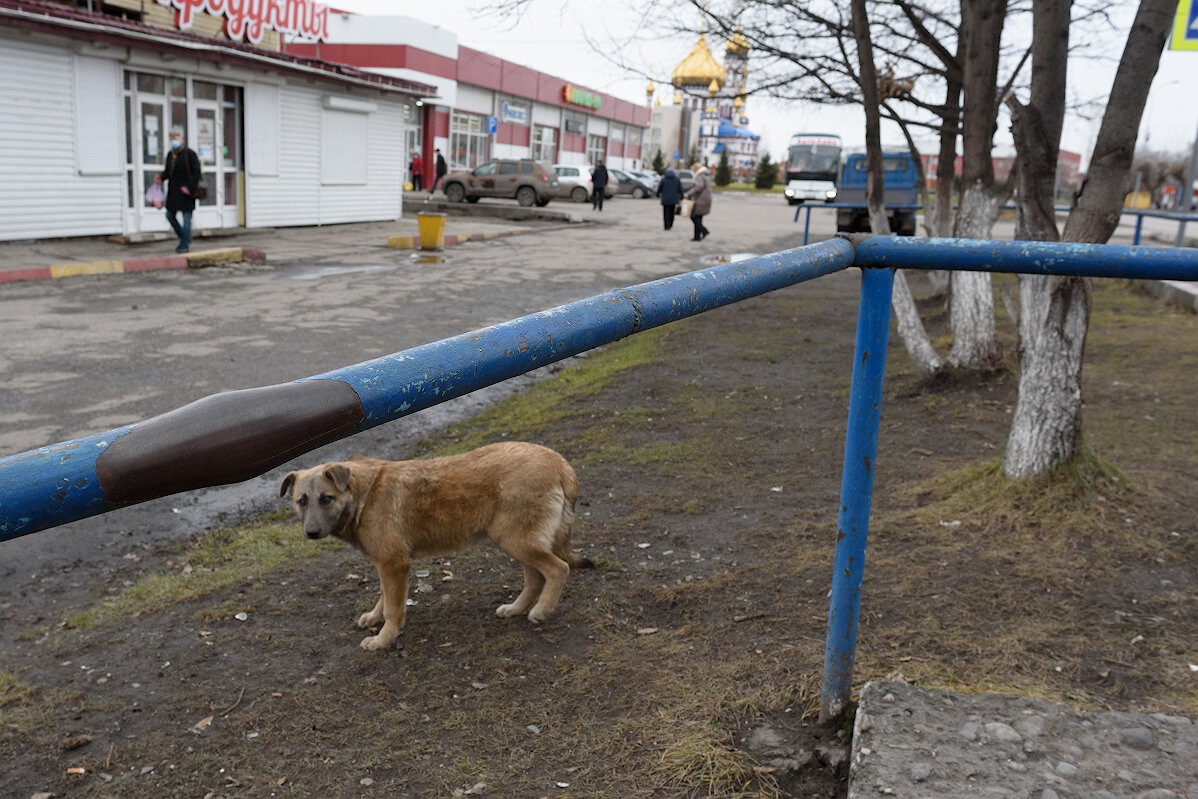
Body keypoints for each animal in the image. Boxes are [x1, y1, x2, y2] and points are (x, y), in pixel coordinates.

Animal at [276, 440, 594, 651]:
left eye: (326, 499)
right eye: (301, 501)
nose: (311, 532)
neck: (364, 494)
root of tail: (560, 462)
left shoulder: (394, 564)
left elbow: (393, 608)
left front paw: (383, 639)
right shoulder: (386, 564)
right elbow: (383, 597)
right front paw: (375, 618)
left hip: (516, 540)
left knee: (557, 569)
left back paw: (541, 610)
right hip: (516, 541)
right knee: (535, 578)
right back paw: (516, 608)